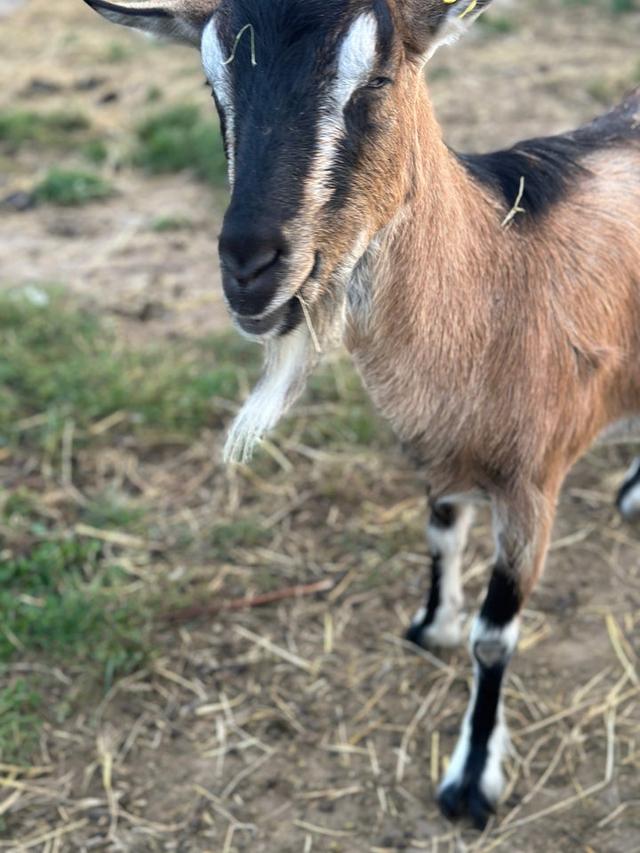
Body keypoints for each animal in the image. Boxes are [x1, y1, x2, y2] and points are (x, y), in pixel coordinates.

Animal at [85, 0, 640, 828]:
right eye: (212, 82)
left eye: (375, 78)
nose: (250, 267)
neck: (500, 273)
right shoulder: (436, 453)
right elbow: (440, 537)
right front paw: (429, 626)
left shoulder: (532, 488)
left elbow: (494, 637)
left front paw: (470, 781)